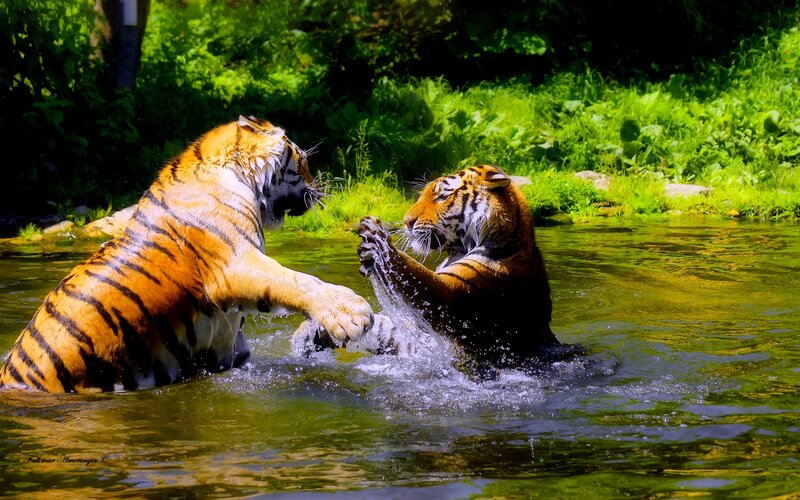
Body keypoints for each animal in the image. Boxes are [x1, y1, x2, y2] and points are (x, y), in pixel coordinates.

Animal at [0, 115, 374, 393]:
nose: (319, 189)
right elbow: (296, 281)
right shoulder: (236, 262)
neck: (236, 174)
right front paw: (351, 313)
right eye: (304, 161)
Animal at [292, 164, 561, 378]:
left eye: (442, 196)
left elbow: (413, 271)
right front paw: (311, 332)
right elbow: (381, 325)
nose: (407, 221)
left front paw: (378, 240)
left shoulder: (450, 296)